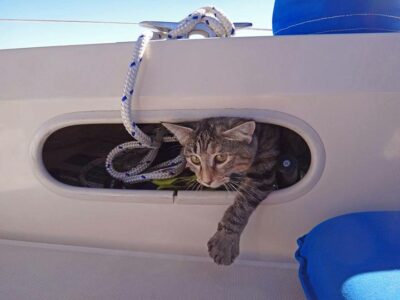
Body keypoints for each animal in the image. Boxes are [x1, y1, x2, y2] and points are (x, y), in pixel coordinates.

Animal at [162, 117, 282, 264]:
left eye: (221, 158)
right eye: (195, 159)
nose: (206, 181)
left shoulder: (263, 172)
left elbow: (241, 206)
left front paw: (226, 240)